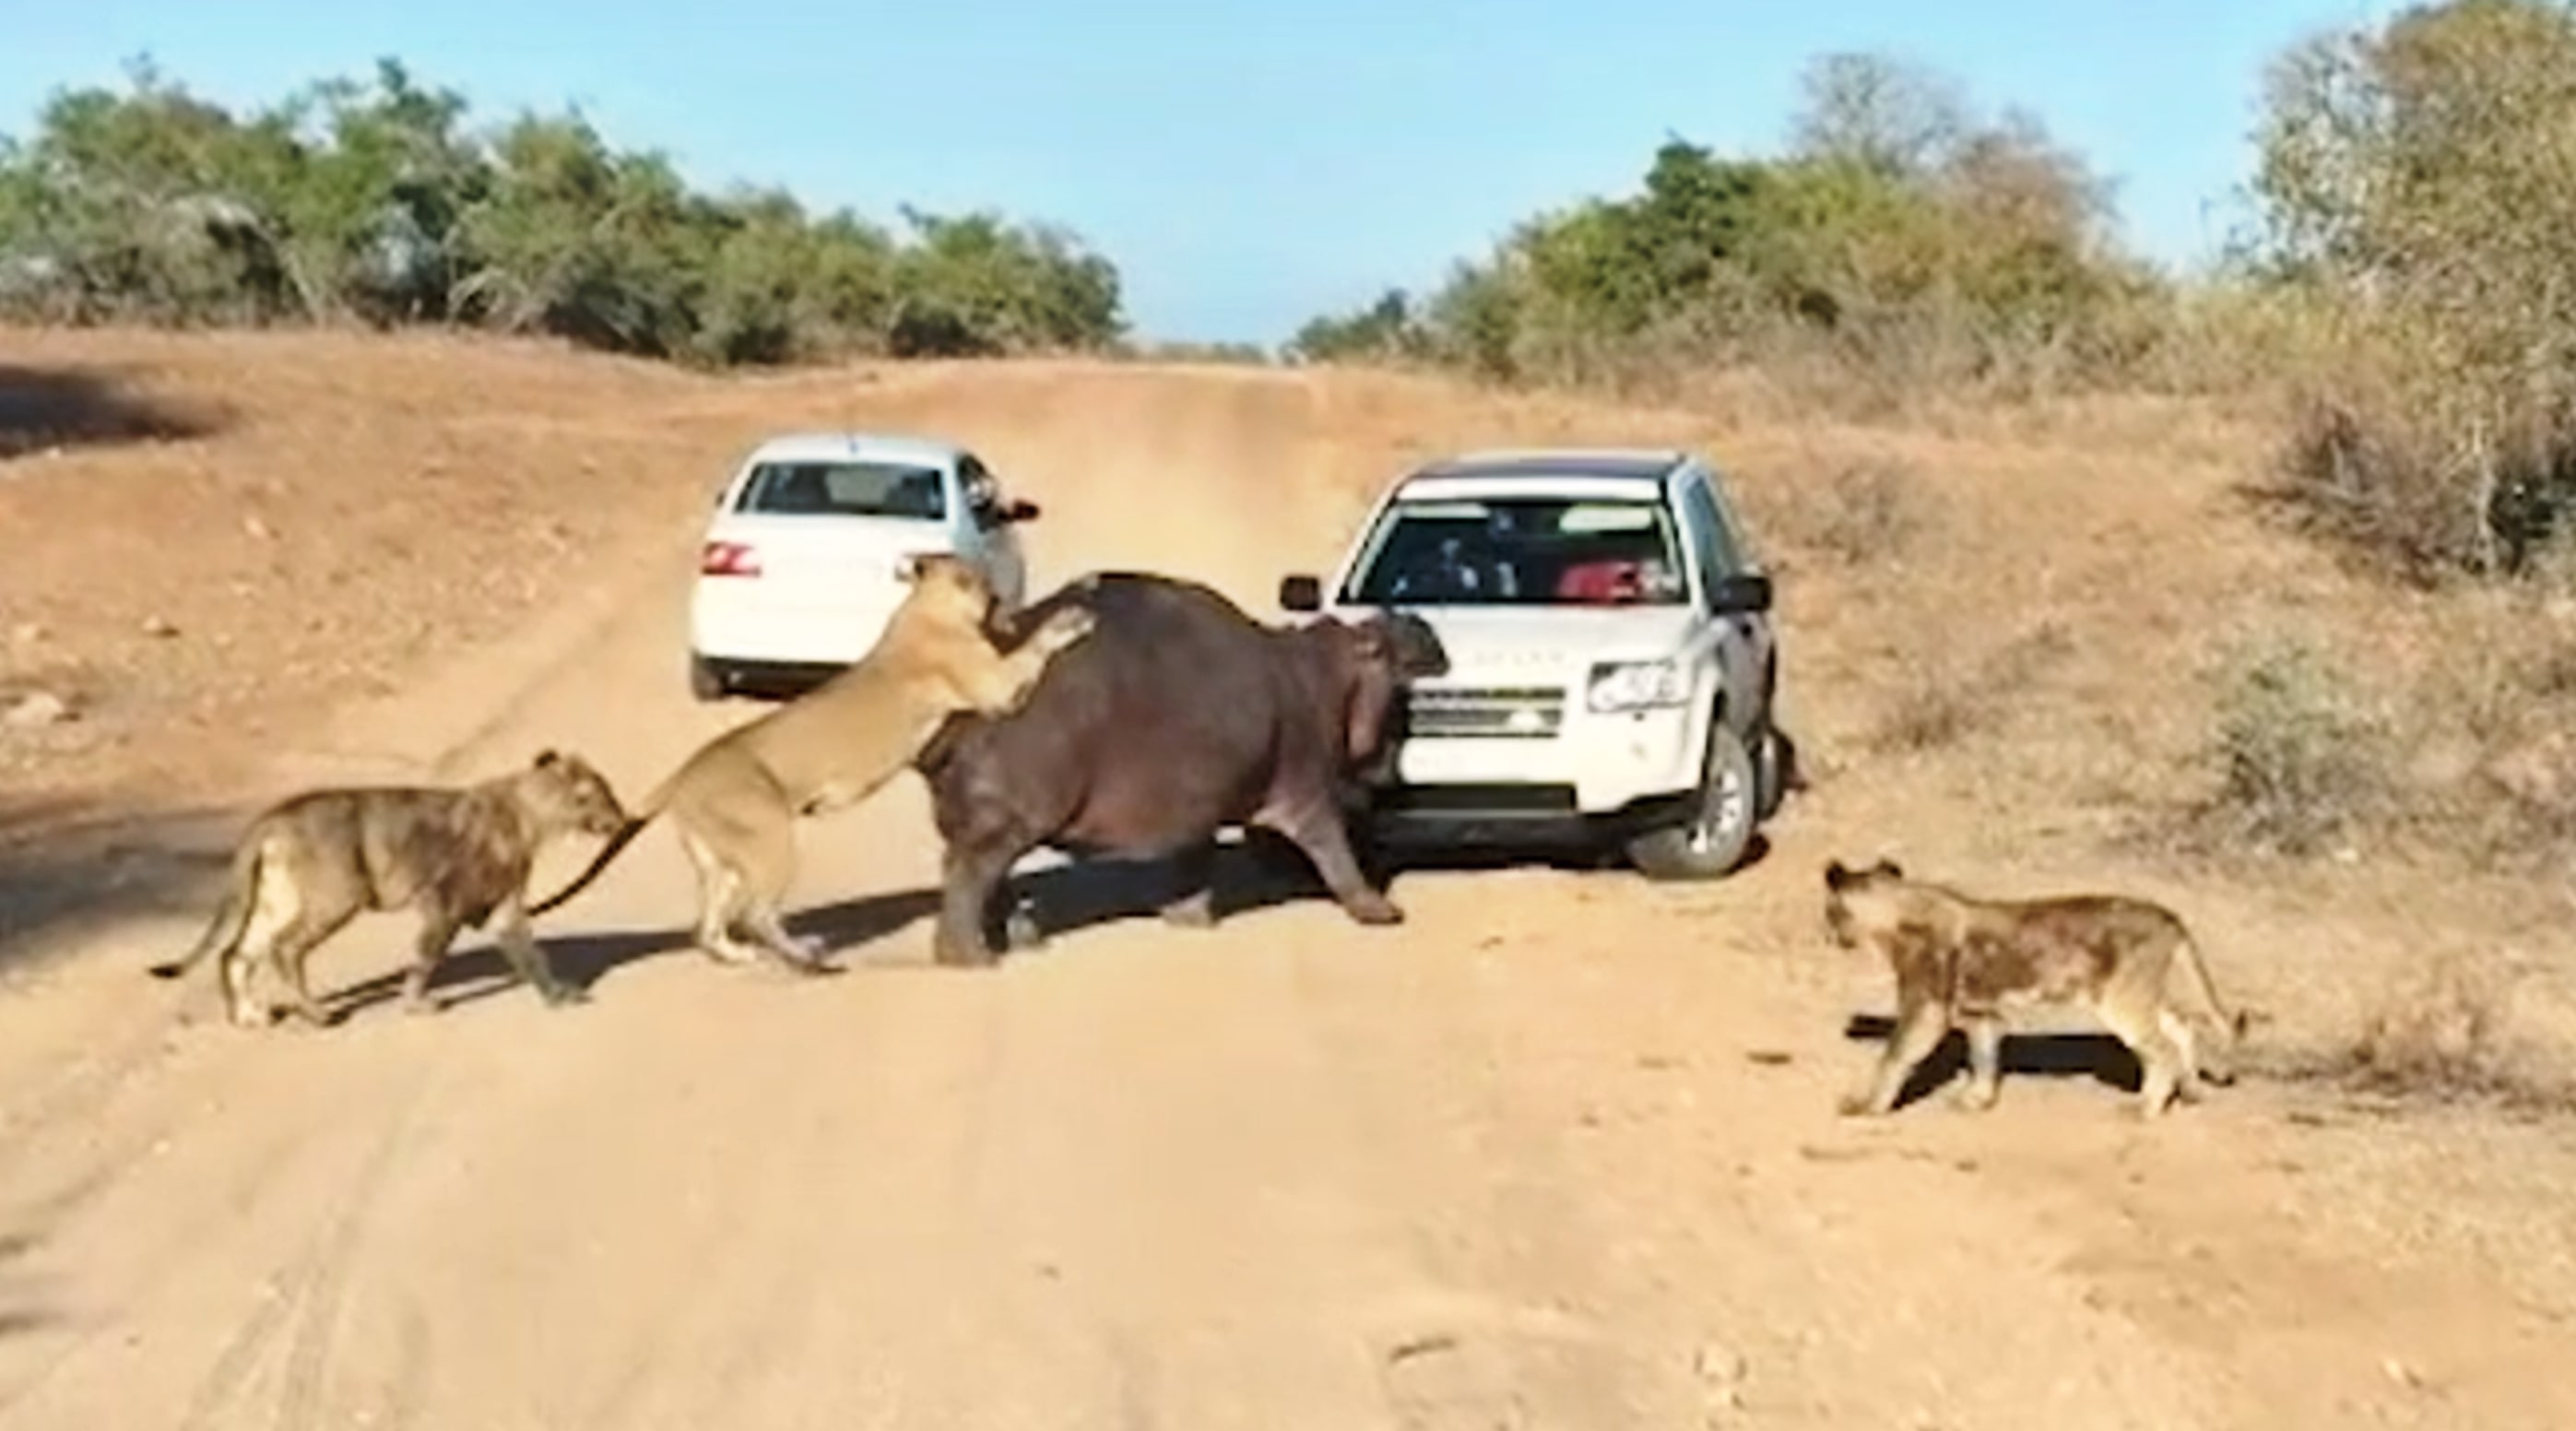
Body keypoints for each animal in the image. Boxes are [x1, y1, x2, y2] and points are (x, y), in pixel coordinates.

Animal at [150, 752, 633, 1031]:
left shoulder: (505, 906)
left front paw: (558, 996)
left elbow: (533, 955)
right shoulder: (443, 904)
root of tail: (273, 818)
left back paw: (248, 1017)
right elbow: (425, 958)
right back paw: (317, 1015)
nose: (623, 817)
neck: (531, 816)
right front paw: (417, 1006)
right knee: (284, 948)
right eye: (604, 793)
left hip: (276, 898)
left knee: (235, 952)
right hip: (337, 895)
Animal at [523, 549, 1097, 975]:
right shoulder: (994, 690)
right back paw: (809, 960)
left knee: (707, 926)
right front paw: (1068, 621)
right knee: (755, 912)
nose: (1000, 601)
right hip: (769, 834)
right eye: (986, 587)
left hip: (721, 855)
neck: (924, 603)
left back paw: (744, 956)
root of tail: (684, 772)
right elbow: (1031, 650)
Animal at [916, 567, 1452, 964]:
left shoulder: (1202, 803)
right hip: (1008, 817)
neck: (1330, 671)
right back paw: (970, 957)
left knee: (993, 880)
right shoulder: (1306, 787)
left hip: (1001, 817)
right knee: (968, 873)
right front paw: (1384, 911)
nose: (1421, 619)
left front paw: (1189, 920)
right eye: (1400, 655)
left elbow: (1195, 863)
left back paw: (1024, 944)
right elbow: (1335, 851)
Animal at [1824, 856, 2246, 1124]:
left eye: (1829, 911)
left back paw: (2144, 1110)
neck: (1897, 915)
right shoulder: (1981, 1014)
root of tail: (2168, 916)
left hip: (2121, 1000)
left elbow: (1893, 1057)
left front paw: (1866, 1106)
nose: (1828, 935)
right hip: (2139, 995)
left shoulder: (1925, 1008)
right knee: (2181, 1028)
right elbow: (1983, 1057)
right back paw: (2190, 1092)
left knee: (2162, 1049)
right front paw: (1977, 1101)